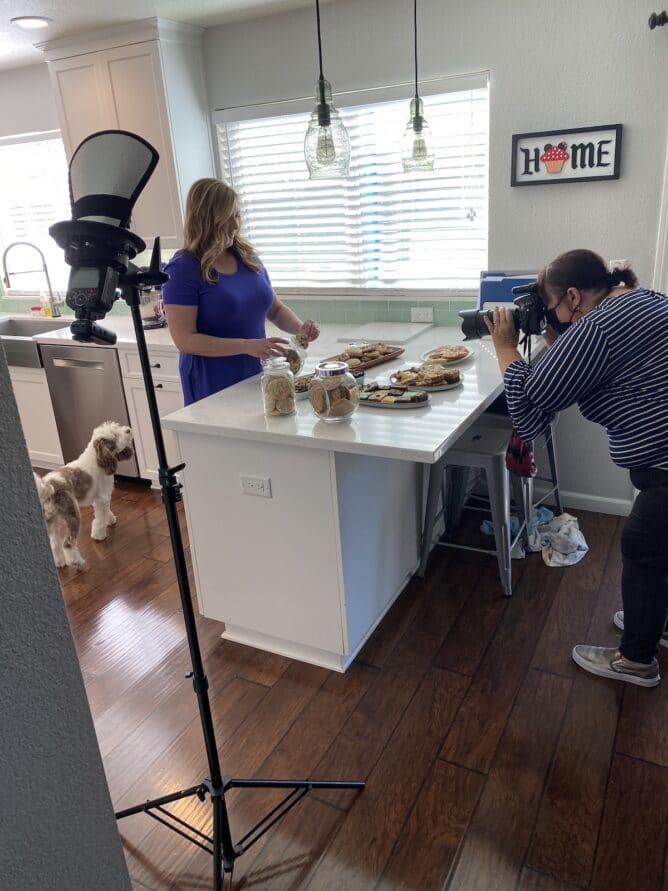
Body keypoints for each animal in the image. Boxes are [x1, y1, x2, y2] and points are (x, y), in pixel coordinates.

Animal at [34, 420, 134, 572]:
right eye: (114, 436)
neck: (98, 459)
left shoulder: (99, 498)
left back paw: (60, 562)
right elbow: (100, 517)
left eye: (117, 427)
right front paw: (99, 535)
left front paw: (110, 520)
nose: (128, 430)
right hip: (72, 515)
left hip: (51, 519)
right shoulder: (103, 497)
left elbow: (106, 511)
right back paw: (76, 561)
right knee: (68, 543)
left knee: (55, 543)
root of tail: (48, 485)